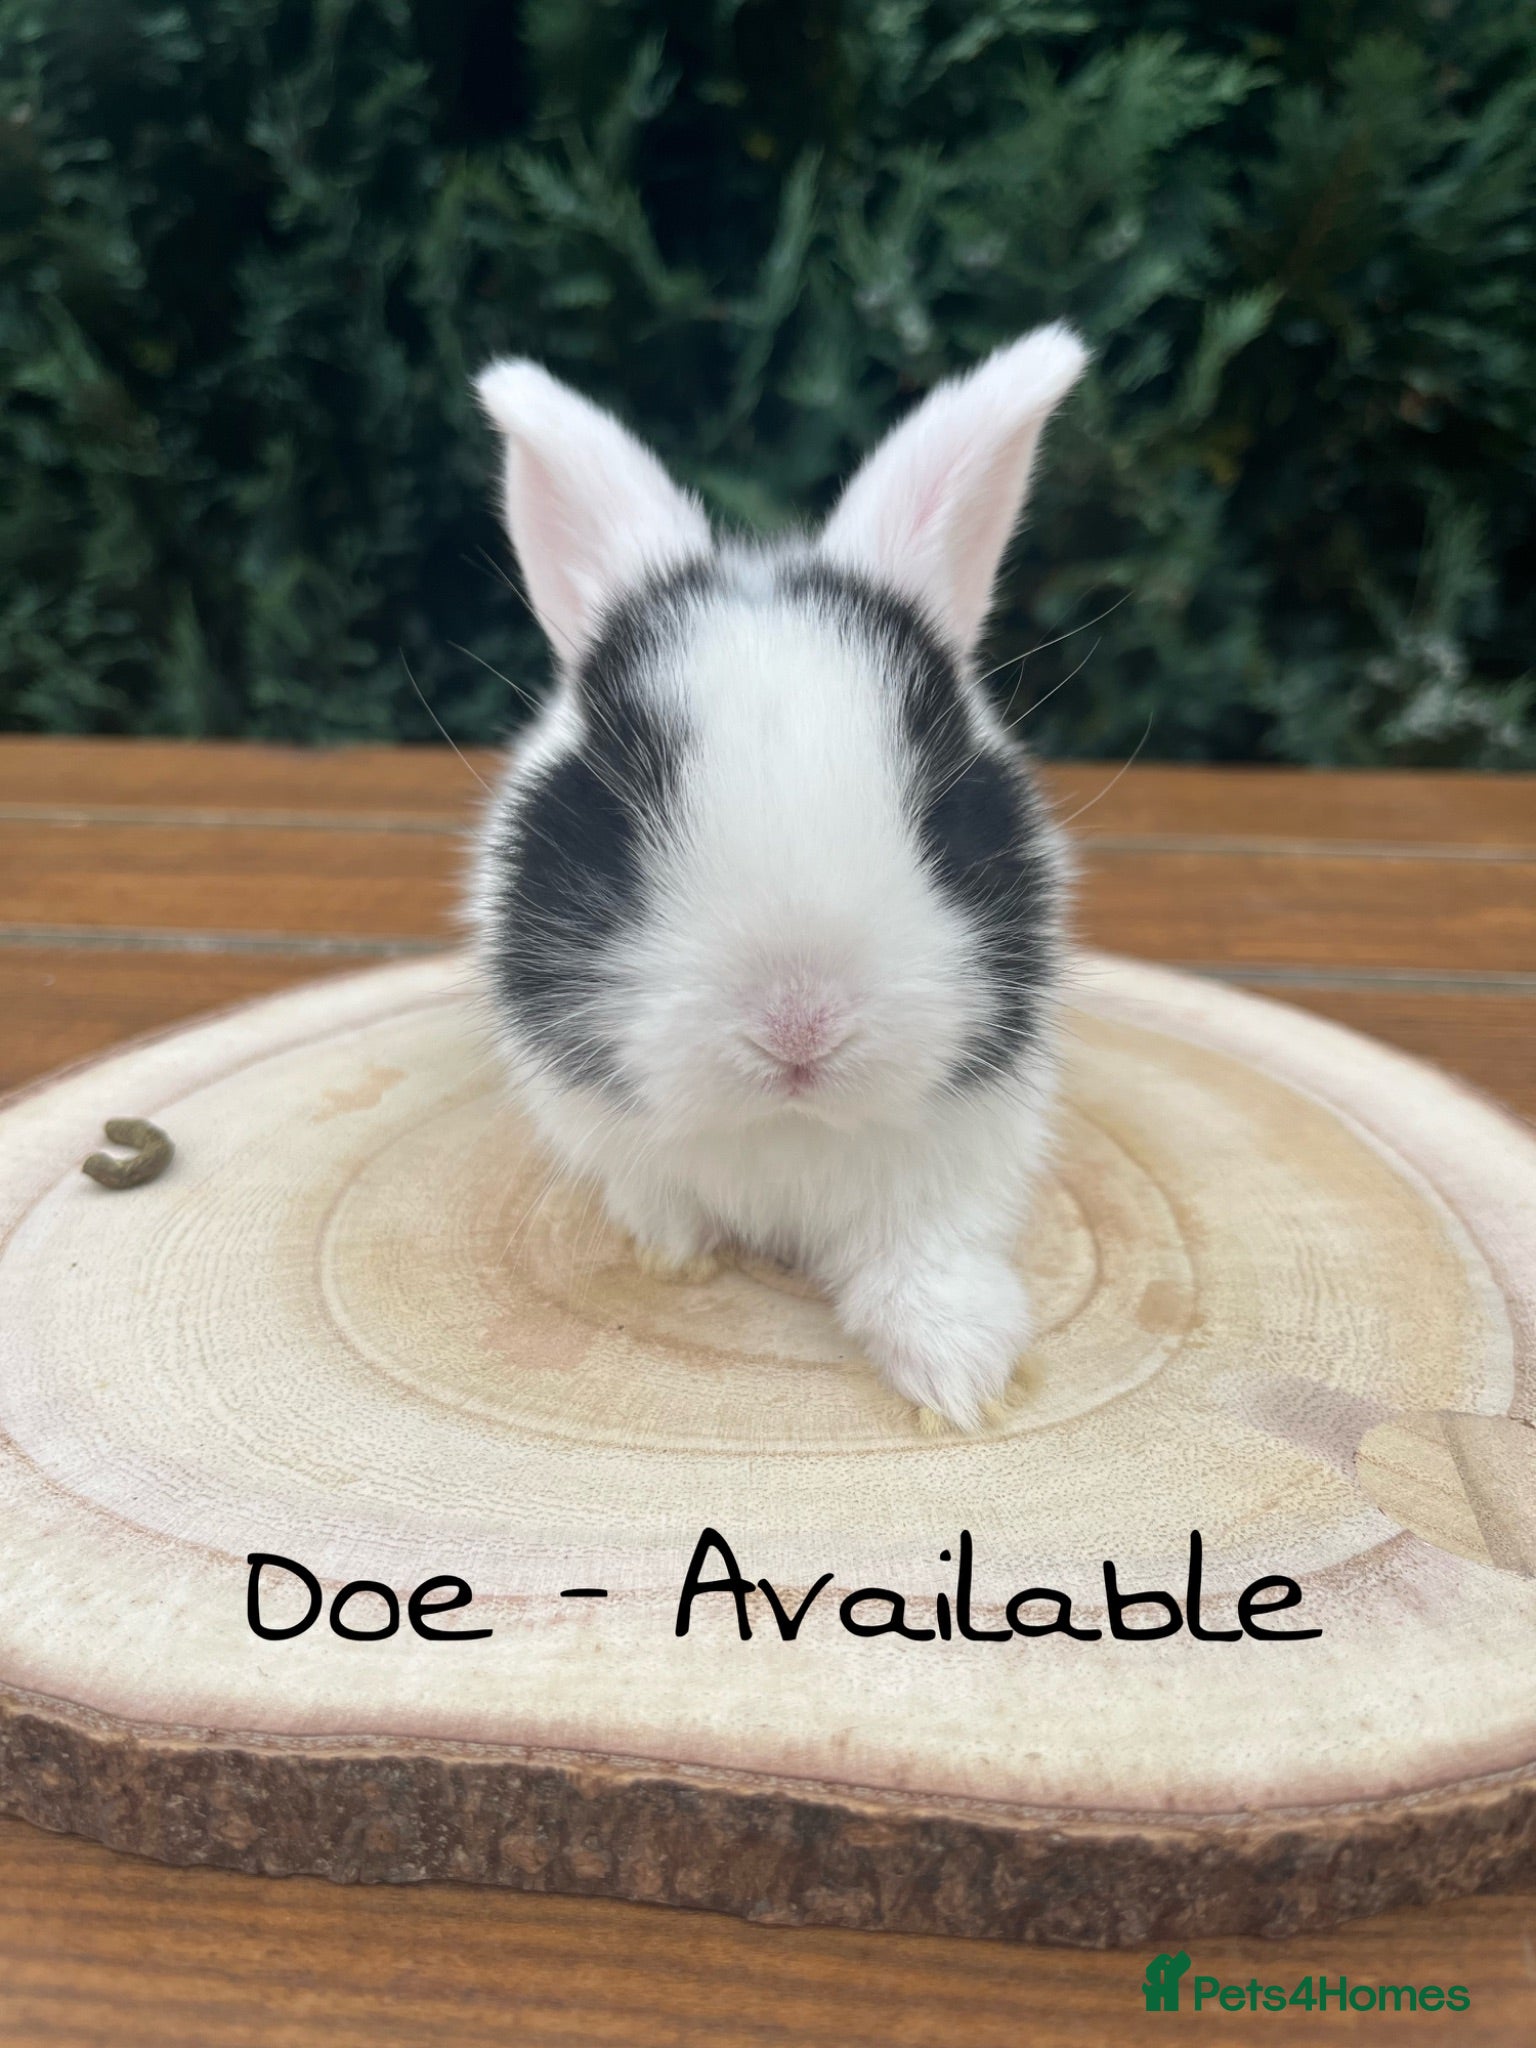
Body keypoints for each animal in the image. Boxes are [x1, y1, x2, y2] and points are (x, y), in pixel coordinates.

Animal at [467, 324, 1087, 1429]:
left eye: (943, 811)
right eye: (612, 818)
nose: (800, 1027)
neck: (785, 1127)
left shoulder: (962, 1162)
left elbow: (928, 1263)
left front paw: (960, 1383)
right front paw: (674, 1262)